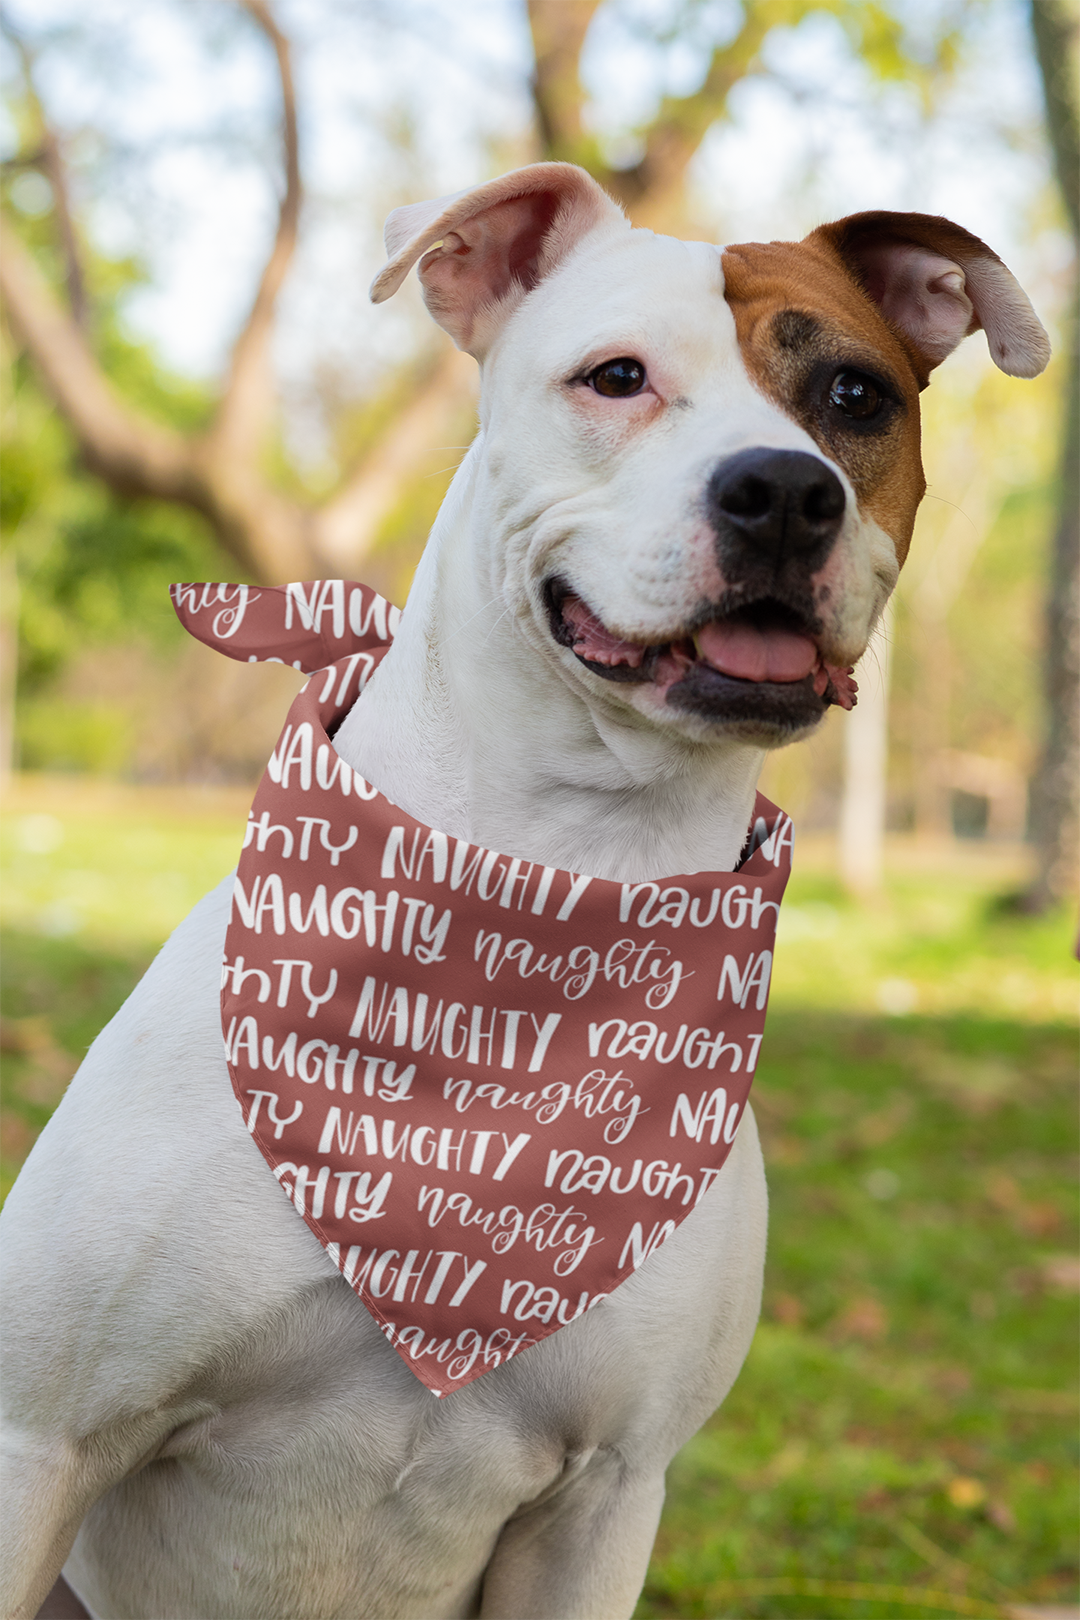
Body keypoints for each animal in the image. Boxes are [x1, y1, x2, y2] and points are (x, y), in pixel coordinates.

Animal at [0, 154, 1049, 1620]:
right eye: (615, 378)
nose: (786, 492)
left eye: (855, 397)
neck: (546, 895)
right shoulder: (44, 1437)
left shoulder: (605, 1496)